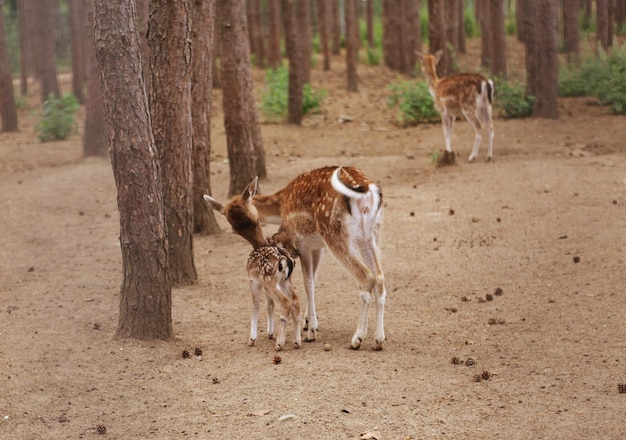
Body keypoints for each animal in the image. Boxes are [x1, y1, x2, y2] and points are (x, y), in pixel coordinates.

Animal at [204, 166, 386, 350]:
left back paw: (357, 338)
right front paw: (308, 322)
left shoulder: (301, 241)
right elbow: (314, 278)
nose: (260, 245)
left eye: (255, 220)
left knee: (366, 276)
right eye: (234, 230)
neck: (281, 205)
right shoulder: (317, 246)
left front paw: (312, 331)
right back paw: (378, 339)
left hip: (335, 232)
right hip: (371, 234)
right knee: (379, 277)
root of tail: (367, 193)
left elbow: (308, 282)